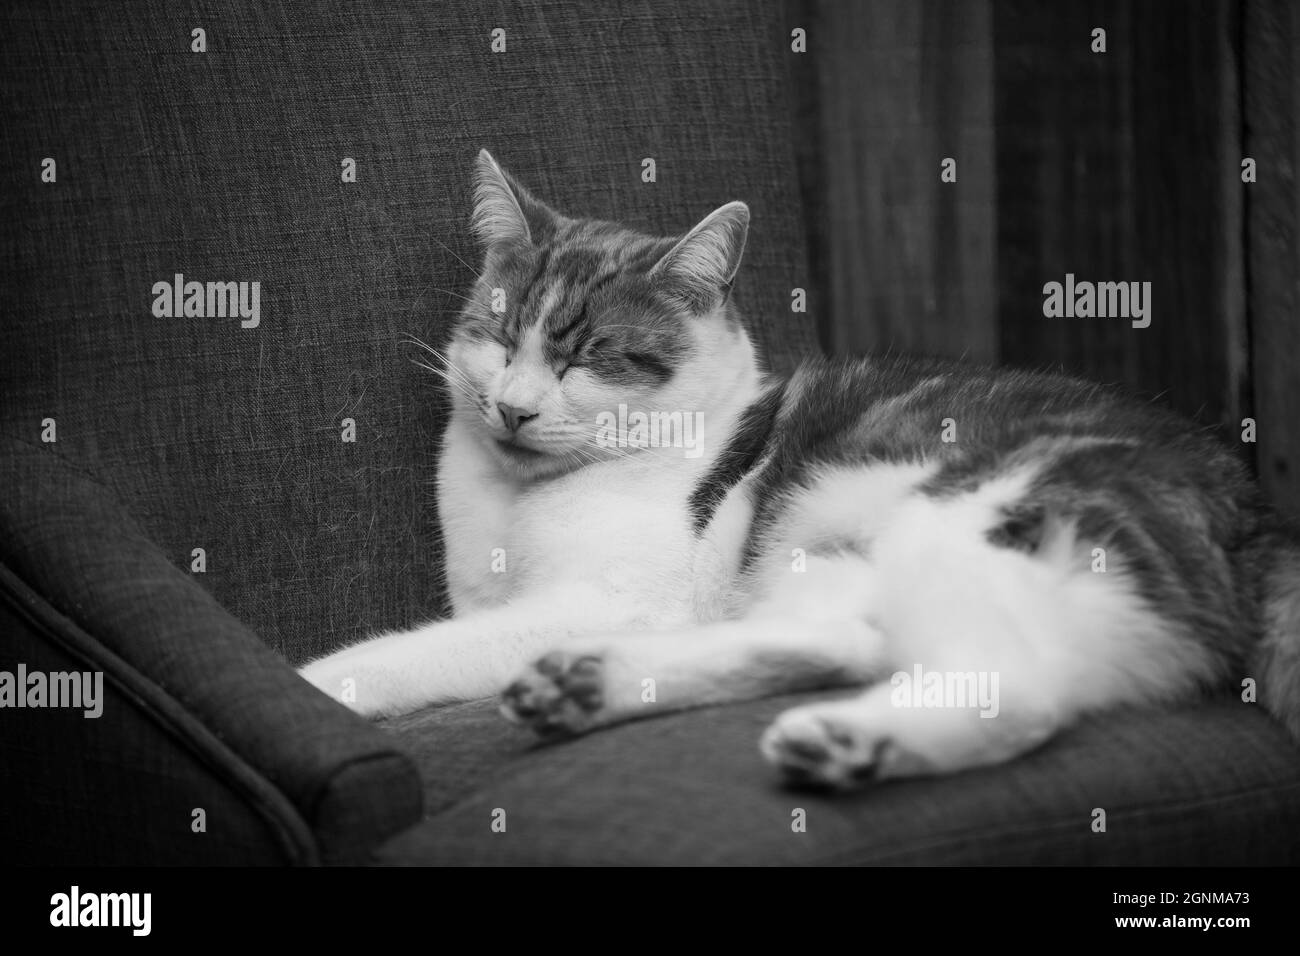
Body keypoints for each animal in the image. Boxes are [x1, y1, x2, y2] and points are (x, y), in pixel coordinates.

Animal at [297, 149, 1300, 790]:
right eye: (501, 336)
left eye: (590, 357)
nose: (512, 406)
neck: (515, 500)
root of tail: (1257, 515)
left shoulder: (611, 599)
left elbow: (418, 651)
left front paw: (315, 685)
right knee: (849, 645)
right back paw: (588, 687)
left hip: (971, 525)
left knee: (1011, 691)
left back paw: (850, 743)